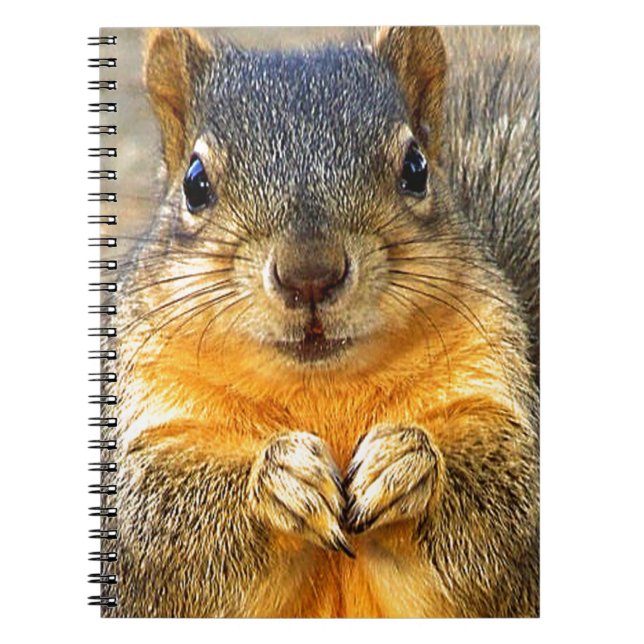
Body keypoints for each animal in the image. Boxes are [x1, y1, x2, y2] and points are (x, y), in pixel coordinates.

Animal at [103, 26, 539, 617]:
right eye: (195, 183)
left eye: (416, 168)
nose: (309, 275)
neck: (320, 387)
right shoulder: (144, 431)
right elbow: (155, 528)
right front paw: (279, 478)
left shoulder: (494, 392)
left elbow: (509, 519)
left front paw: (407, 461)